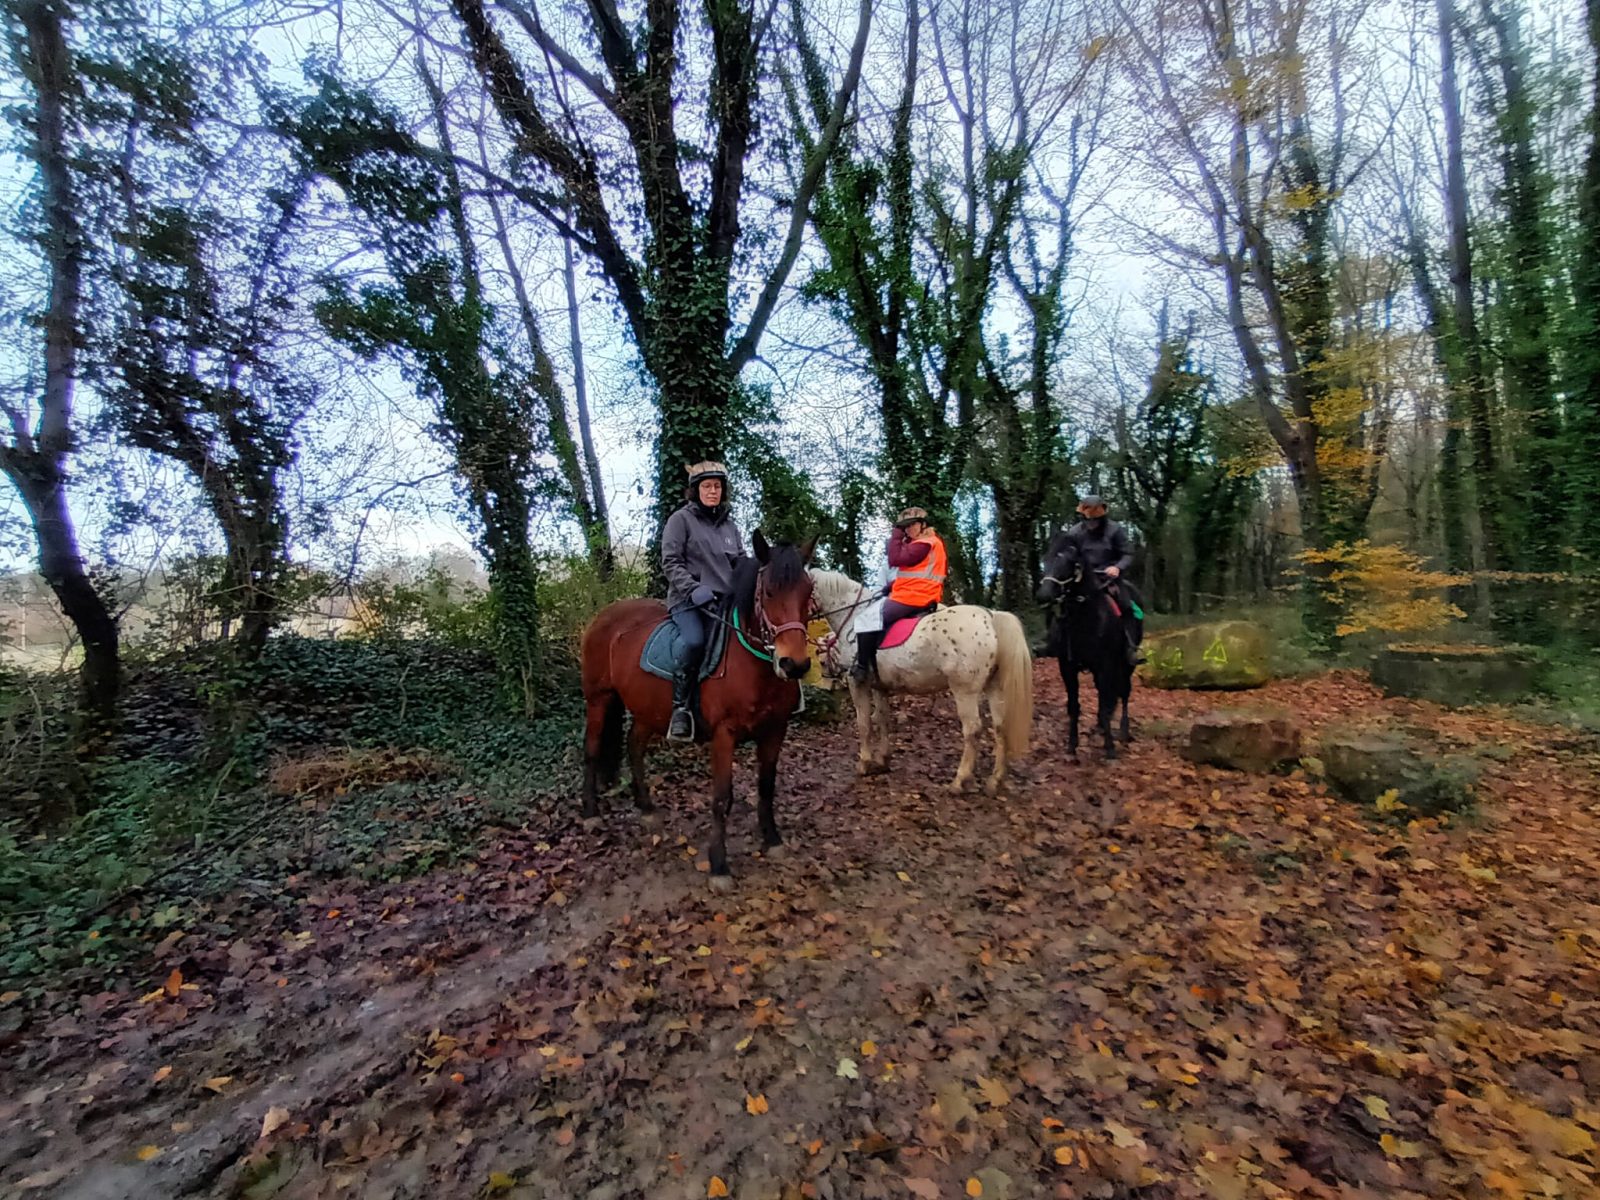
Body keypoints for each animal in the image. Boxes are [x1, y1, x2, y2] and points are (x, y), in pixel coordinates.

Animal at [579, 534, 819, 896]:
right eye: (768, 593)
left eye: (807, 592)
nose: (795, 665)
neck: (752, 665)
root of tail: (604, 615)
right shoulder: (724, 734)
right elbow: (721, 798)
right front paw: (719, 866)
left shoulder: (776, 729)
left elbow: (766, 787)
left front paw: (772, 840)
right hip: (599, 699)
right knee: (592, 750)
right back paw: (591, 812)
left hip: (647, 708)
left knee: (634, 745)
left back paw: (646, 807)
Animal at [806, 572, 1030, 800]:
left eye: (822, 662)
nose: (825, 689)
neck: (853, 617)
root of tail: (990, 616)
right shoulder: (879, 686)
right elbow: (882, 719)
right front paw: (882, 759)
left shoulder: (858, 683)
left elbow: (864, 724)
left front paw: (864, 763)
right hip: (994, 688)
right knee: (1000, 726)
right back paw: (995, 780)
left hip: (964, 691)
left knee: (972, 730)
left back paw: (959, 781)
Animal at [1036, 537, 1139, 761]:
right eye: (1045, 560)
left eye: (1070, 563)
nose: (1044, 595)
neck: (1082, 619)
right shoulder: (1067, 667)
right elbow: (1074, 706)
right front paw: (1071, 746)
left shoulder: (1105, 665)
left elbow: (1105, 704)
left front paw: (1110, 748)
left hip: (1125, 665)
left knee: (1124, 693)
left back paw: (1123, 731)